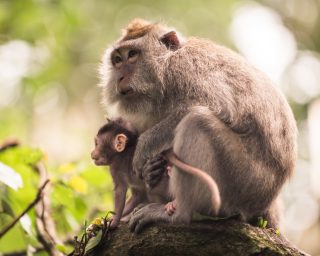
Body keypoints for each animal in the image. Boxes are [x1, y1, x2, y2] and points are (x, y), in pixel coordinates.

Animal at [90, 118, 220, 228]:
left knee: (155, 187)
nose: (92, 153)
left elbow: (120, 193)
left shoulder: (115, 168)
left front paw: (114, 221)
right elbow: (137, 195)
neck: (122, 154)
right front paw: (115, 217)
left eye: (97, 144)